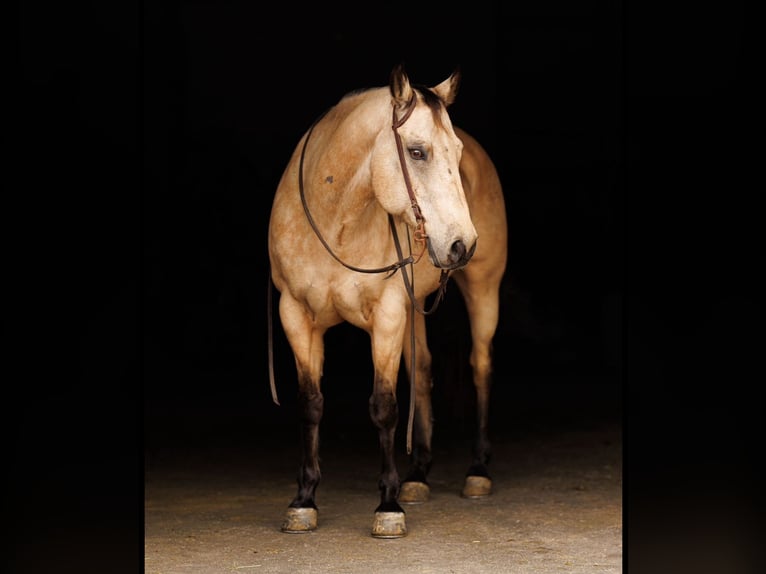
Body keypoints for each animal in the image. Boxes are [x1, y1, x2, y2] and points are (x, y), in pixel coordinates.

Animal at [267, 64, 507, 538]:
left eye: (455, 152)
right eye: (417, 152)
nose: (463, 245)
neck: (336, 222)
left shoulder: (388, 316)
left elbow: (383, 406)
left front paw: (389, 506)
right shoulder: (295, 315)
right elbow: (310, 404)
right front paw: (304, 500)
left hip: (483, 290)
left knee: (481, 369)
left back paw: (477, 471)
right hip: (415, 311)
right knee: (424, 370)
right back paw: (419, 475)